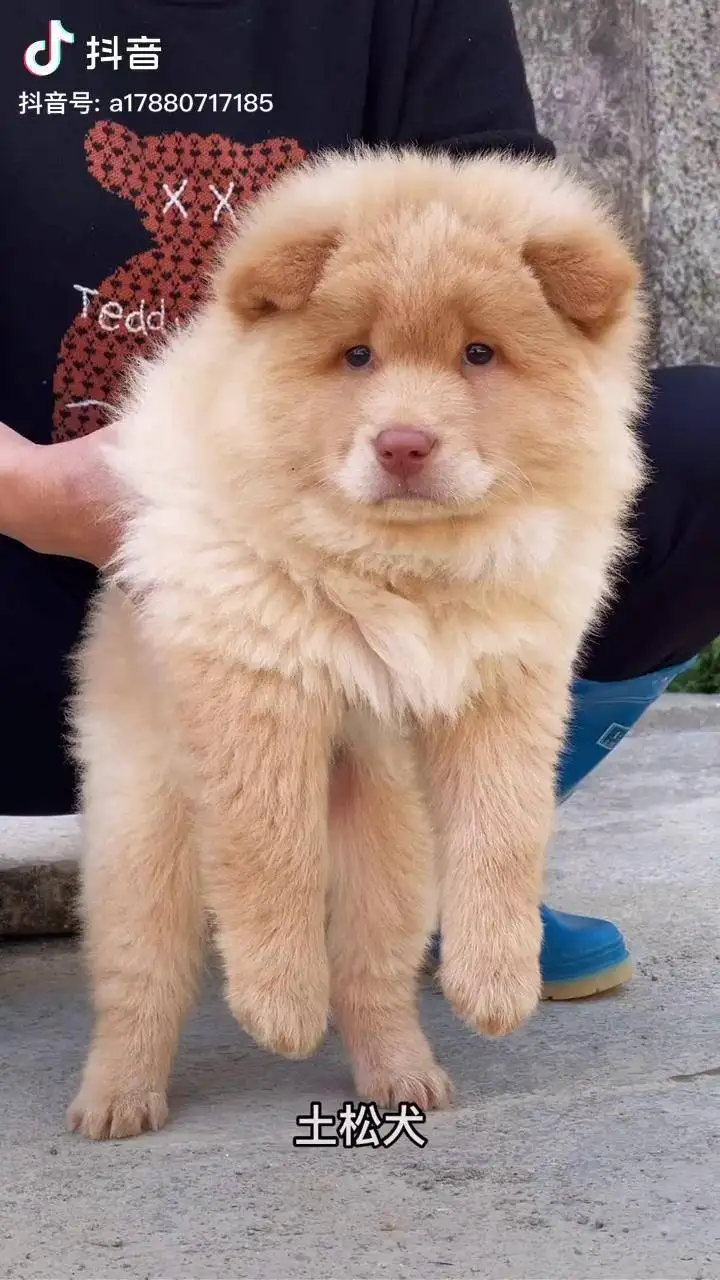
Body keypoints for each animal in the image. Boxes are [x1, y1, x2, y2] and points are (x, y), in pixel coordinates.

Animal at [67, 147, 640, 1141]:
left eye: (479, 354)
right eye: (358, 355)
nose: (404, 442)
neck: (401, 567)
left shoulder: (507, 682)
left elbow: (505, 831)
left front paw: (497, 985)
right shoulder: (257, 679)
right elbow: (273, 850)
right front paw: (277, 1005)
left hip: (391, 840)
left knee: (372, 975)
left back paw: (404, 1076)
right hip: (145, 834)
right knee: (143, 982)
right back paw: (118, 1100)